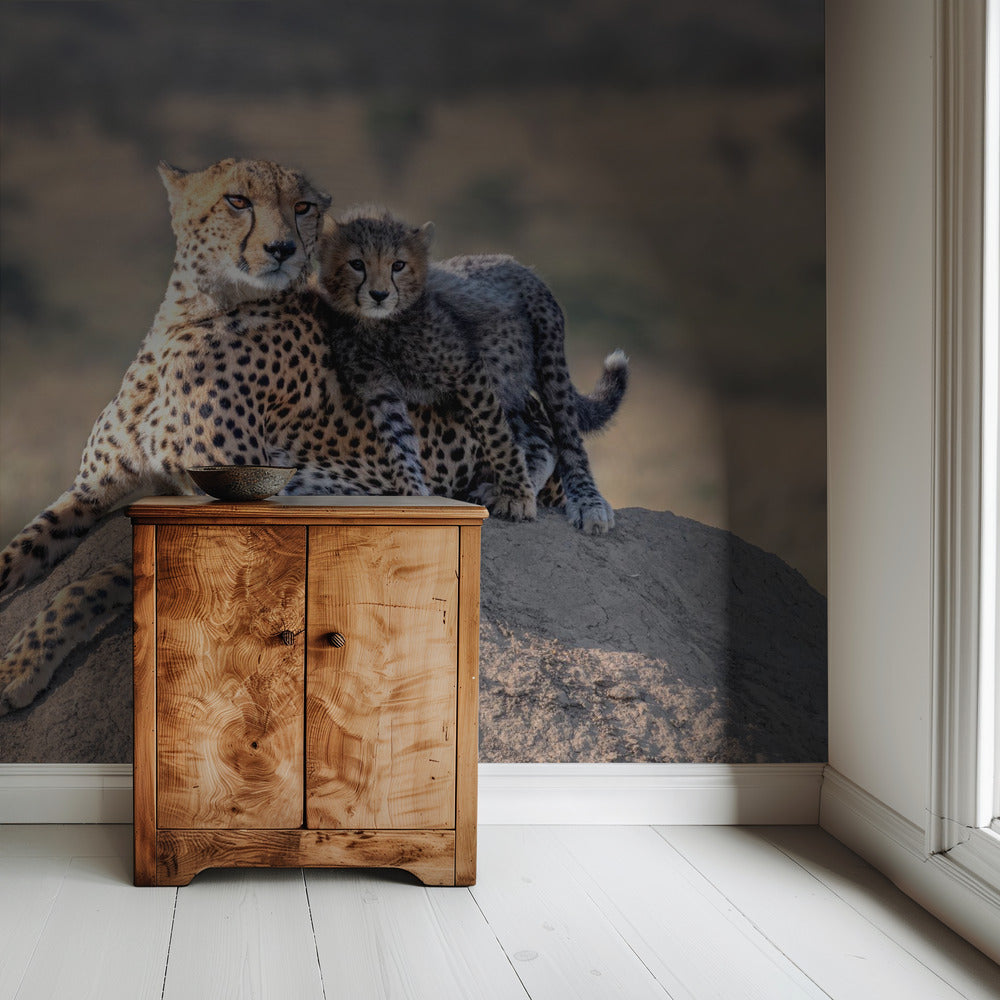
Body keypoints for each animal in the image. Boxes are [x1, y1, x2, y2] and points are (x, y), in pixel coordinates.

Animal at [318, 206, 628, 536]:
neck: (378, 325)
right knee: (539, 438)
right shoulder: (379, 391)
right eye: (357, 264)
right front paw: (415, 499)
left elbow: (497, 439)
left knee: (567, 437)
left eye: (398, 265)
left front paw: (519, 498)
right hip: (506, 382)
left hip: (547, 361)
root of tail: (513, 260)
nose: (379, 294)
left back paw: (586, 502)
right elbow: (400, 444)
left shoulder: (468, 372)